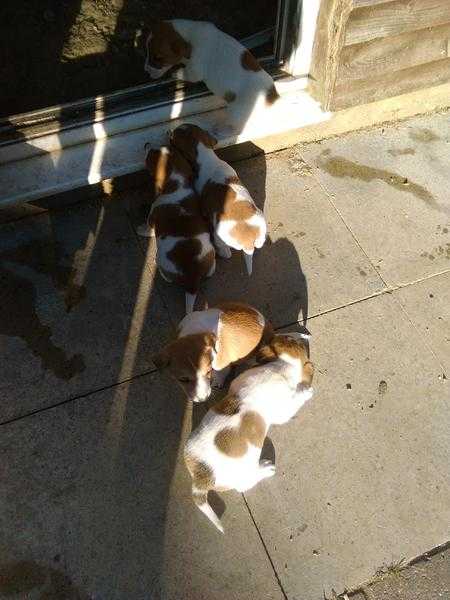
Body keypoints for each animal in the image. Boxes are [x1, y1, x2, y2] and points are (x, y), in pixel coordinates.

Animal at [137, 142, 214, 314]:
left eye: (150, 153)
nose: (146, 144)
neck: (177, 184)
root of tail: (192, 280)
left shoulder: (152, 219)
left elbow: (148, 229)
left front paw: (140, 230)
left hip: (162, 261)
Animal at [171, 124, 266, 274]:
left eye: (174, 135)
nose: (169, 131)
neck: (207, 156)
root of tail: (248, 242)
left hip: (219, 237)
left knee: (225, 250)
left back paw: (222, 252)